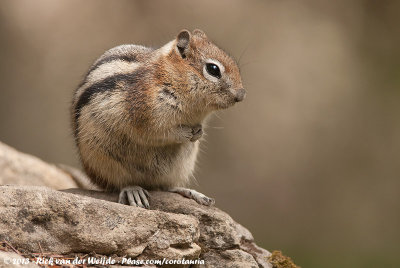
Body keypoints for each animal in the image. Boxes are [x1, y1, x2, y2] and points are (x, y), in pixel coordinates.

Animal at [73, 29, 245, 208]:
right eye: (213, 69)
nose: (241, 95)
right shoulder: (145, 116)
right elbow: (157, 133)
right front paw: (183, 133)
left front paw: (199, 132)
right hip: (105, 163)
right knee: (119, 184)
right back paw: (133, 191)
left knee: (166, 187)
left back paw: (192, 193)